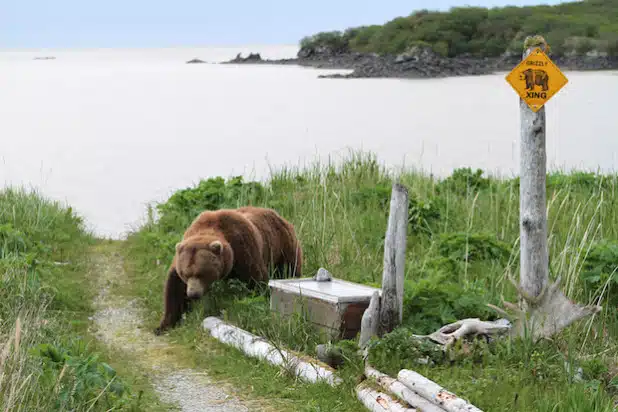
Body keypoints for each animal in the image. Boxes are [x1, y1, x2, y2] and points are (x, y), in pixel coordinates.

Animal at [152, 206, 300, 334]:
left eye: (201, 274)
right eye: (185, 274)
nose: (193, 293)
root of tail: (278, 215)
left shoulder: (243, 248)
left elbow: (256, 280)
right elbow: (174, 289)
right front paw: (162, 326)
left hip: (283, 245)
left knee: (289, 268)